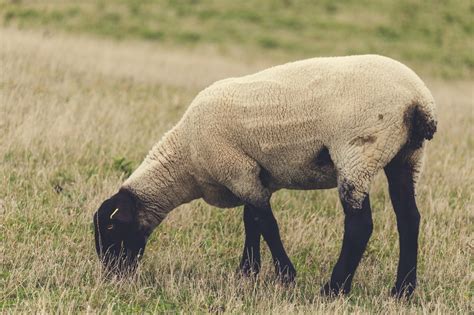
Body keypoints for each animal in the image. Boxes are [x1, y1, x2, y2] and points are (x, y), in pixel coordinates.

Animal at [93, 54, 436, 298]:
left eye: (111, 229)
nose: (112, 275)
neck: (185, 160)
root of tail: (418, 100)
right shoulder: (252, 175)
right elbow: (252, 221)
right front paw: (247, 272)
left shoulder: (237, 170)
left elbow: (267, 224)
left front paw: (285, 275)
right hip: (407, 155)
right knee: (409, 219)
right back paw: (402, 291)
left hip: (357, 152)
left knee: (359, 225)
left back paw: (334, 289)